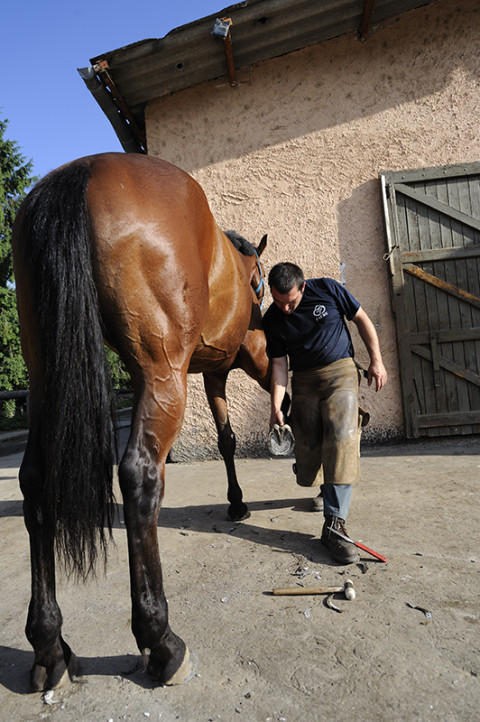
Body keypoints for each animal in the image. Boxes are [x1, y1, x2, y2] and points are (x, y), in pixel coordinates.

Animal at [11, 152, 276, 688]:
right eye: (258, 277)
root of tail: (80, 172)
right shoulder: (242, 364)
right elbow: (247, 425)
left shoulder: (209, 373)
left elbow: (226, 438)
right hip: (161, 374)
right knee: (139, 476)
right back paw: (162, 642)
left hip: (47, 379)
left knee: (34, 482)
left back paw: (49, 646)